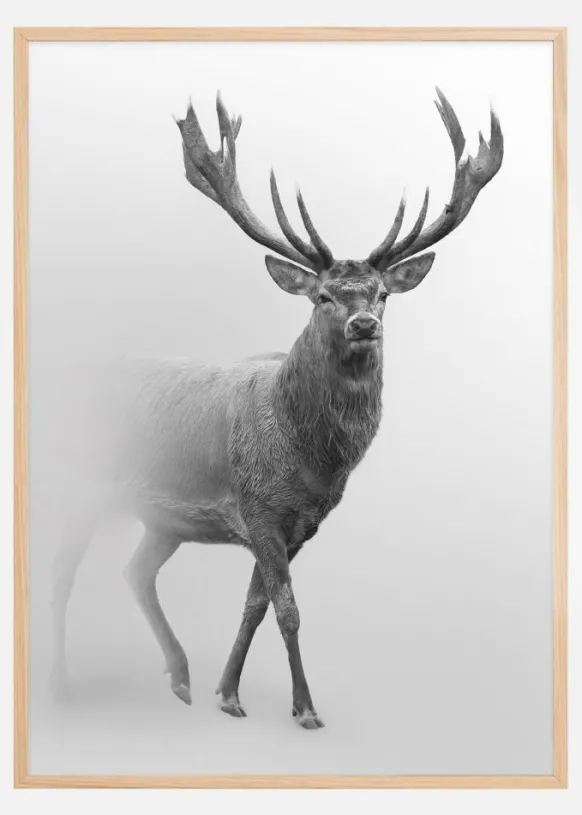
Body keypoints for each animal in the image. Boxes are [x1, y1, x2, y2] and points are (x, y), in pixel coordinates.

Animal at [50, 88, 503, 729]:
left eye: (382, 295)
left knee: (134, 571)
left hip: (163, 520)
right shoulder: (258, 506)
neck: (311, 459)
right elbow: (287, 609)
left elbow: (255, 605)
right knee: (62, 574)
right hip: (79, 484)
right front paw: (305, 708)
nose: (364, 324)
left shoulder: (299, 526)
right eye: (323, 296)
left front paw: (227, 692)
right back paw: (62, 686)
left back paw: (181, 678)